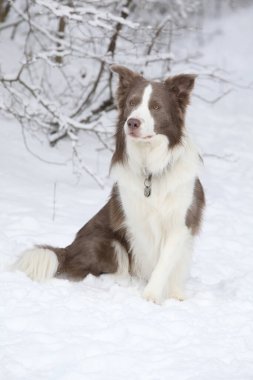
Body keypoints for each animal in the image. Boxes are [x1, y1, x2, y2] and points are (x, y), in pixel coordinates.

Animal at [14, 65, 206, 302]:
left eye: (155, 106)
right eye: (132, 103)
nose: (132, 122)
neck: (150, 168)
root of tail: (68, 250)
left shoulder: (181, 222)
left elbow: (167, 262)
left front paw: (169, 293)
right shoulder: (135, 222)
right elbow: (151, 259)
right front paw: (151, 295)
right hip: (105, 240)